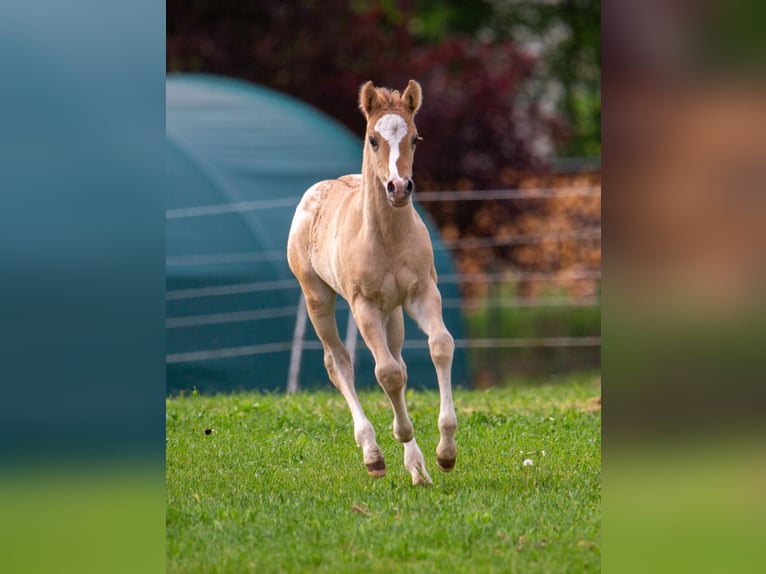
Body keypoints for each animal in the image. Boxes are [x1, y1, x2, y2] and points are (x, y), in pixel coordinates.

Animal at [287, 80, 457, 485]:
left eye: (415, 138)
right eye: (372, 139)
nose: (399, 187)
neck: (388, 238)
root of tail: (318, 188)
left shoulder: (423, 293)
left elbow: (439, 346)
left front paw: (444, 453)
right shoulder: (363, 305)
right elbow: (386, 373)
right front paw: (399, 436)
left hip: (392, 313)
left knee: (399, 362)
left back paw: (417, 467)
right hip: (318, 298)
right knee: (338, 362)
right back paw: (372, 452)